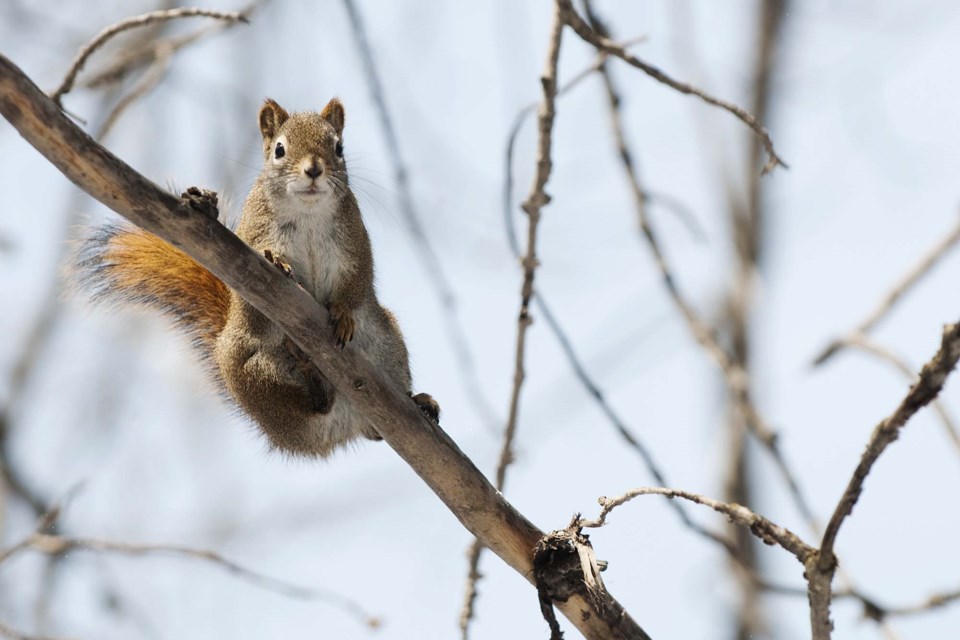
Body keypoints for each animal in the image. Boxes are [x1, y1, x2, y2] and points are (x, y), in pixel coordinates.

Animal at [77, 97, 440, 458]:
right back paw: (311, 374)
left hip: (387, 340)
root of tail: (331, 432)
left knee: (373, 425)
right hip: (252, 375)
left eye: (338, 147)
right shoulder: (253, 232)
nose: (313, 169)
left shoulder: (355, 244)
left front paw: (343, 314)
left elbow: (357, 282)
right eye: (279, 149)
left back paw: (418, 402)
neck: (308, 211)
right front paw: (277, 261)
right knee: (312, 404)